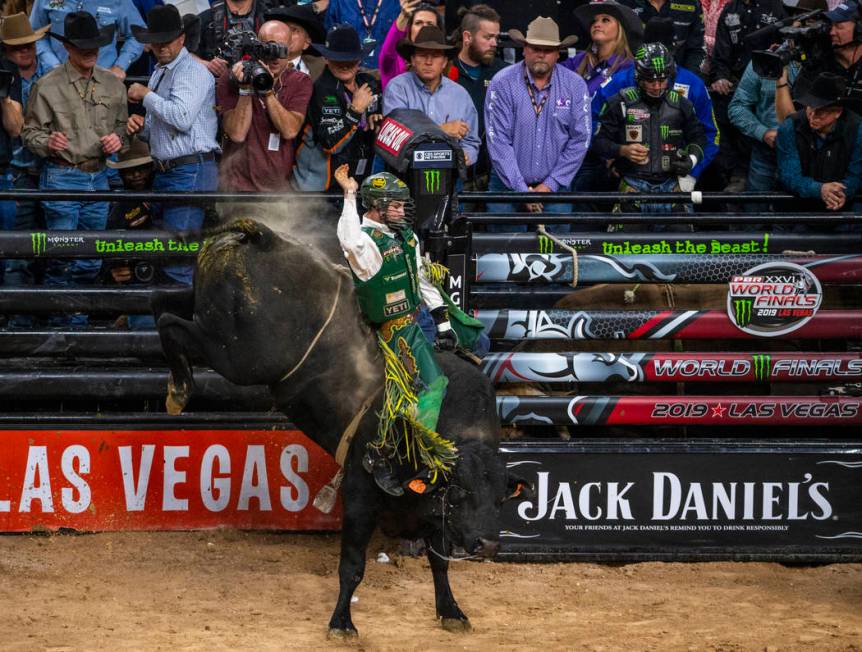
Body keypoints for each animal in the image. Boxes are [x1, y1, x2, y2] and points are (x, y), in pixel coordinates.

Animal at [154, 220, 528, 636]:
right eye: (461, 492)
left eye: (501, 497)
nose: (488, 545)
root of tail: (265, 237)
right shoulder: (360, 493)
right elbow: (353, 565)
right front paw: (341, 622)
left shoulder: (431, 508)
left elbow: (439, 561)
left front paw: (451, 611)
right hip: (239, 355)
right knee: (170, 324)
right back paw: (178, 390)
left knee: (168, 318)